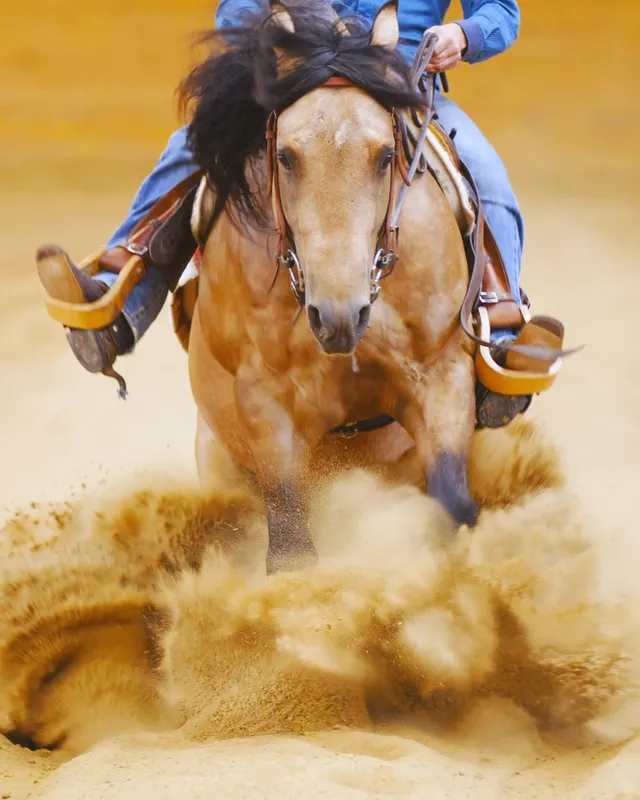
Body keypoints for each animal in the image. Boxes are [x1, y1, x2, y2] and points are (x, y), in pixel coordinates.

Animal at [178, 0, 482, 573]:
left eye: (385, 155)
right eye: (285, 156)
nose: (338, 315)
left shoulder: (442, 371)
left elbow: (454, 504)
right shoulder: (265, 401)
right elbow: (291, 545)